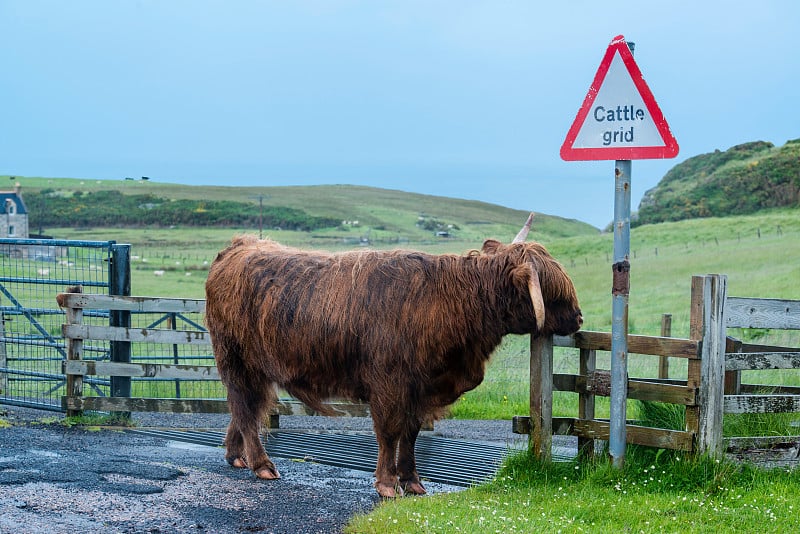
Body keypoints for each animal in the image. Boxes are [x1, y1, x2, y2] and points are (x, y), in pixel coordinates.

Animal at [206, 216, 580, 500]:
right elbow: (389, 432)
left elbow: (410, 433)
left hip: (256, 367)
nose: (579, 319)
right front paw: (387, 484)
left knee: (249, 407)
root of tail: (240, 245)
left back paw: (235, 455)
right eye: (554, 291)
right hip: (235, 360)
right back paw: (261, 464)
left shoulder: (422, 388)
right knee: (244, 407)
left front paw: (412, 481)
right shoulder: (389, 383)